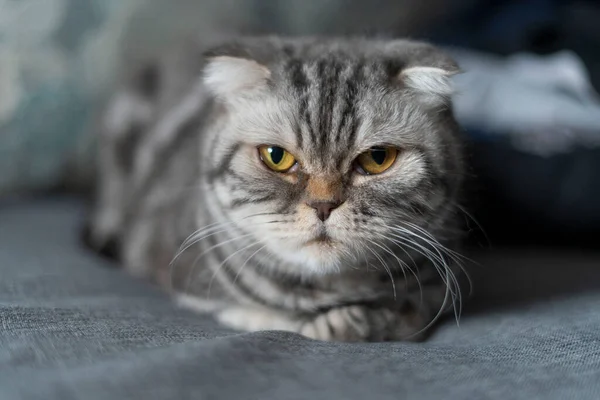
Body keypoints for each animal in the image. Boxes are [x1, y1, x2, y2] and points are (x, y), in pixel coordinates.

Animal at [85, 36, 468, 340]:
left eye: (377, 158)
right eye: (276, 156)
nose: (324, 205)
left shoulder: (440, 285)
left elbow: (409, 312)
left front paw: (359, 321)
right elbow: (262, 314)